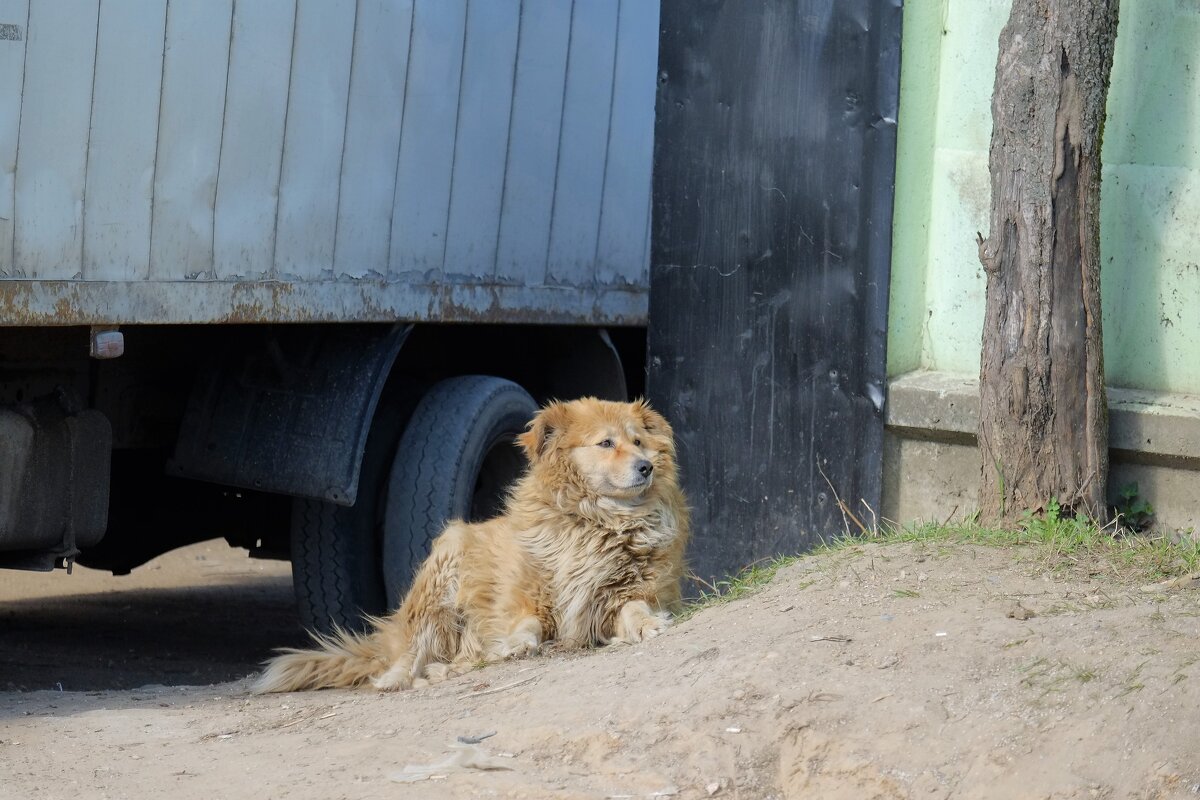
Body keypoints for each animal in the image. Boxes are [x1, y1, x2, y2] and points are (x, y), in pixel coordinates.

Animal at [252, 400, 686, 695]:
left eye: (638, 441)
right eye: (606, 442)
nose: (646, 466)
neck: (595, 521)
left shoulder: (619, 595)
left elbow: (634, 609)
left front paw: (647, 624)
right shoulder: (527, 597)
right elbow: (526, 623)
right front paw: (516, 644)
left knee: (457, 660)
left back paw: (445, 671)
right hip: (443, 572)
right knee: (410, 655)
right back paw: (398, 677)